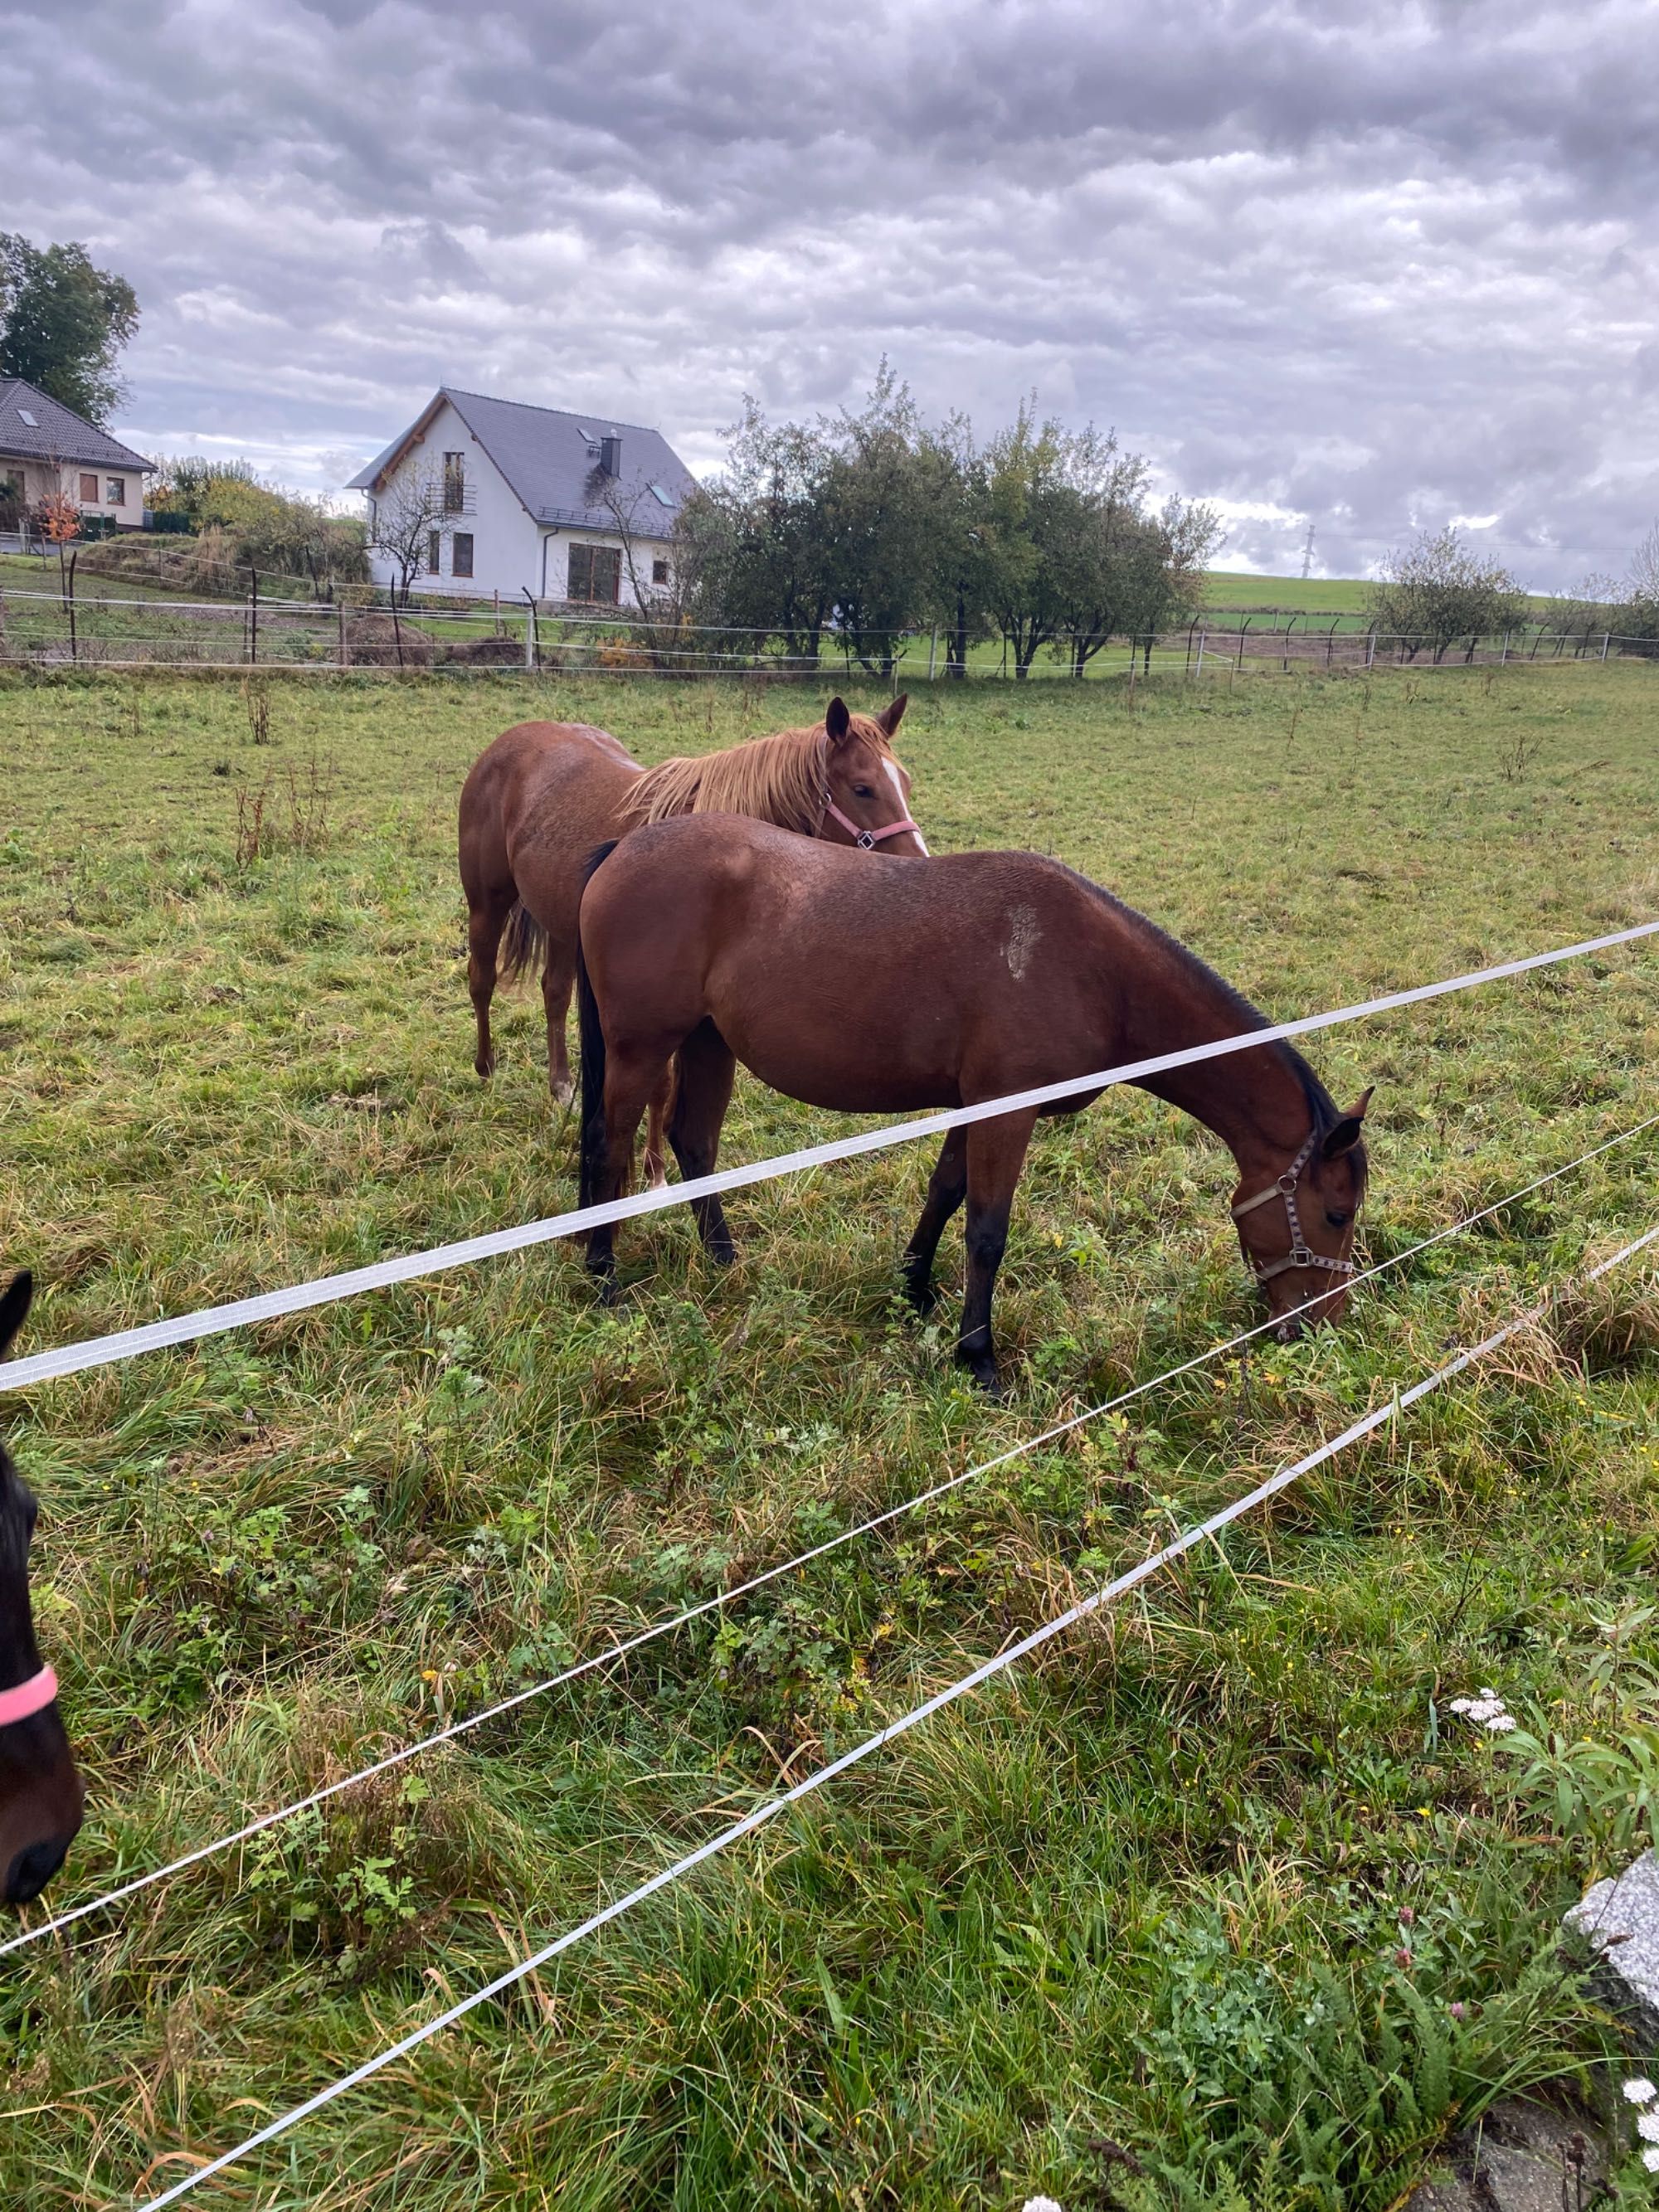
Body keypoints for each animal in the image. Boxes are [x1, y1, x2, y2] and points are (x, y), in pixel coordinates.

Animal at [455, 694, 924, 1150]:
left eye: (905, 783)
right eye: (862, 789)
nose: (919, 862)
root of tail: (508, 741)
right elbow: (660, 1086)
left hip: (560, 926)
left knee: (554, 995)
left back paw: (561, 1085)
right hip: (487, 905)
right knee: (482, 980)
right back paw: (486, 1068)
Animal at [579, 823, 1371, 1388]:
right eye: (1337, 1214)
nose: (1327, 1323)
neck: (1093, 969)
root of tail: (623, 847)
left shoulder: (973, 1106)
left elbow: (945, 1193)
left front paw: (914, 1289)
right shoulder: (1005, 1110)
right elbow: (988, 1230)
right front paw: (979, 1356)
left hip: (708, 1042)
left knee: (693, 1142)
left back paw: (722, 1260)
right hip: (643, 1047)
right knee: (610, 1146)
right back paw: (602, 1275)